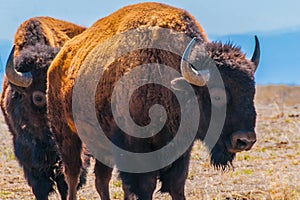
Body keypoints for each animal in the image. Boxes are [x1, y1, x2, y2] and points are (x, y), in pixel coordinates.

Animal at [45, 1, 258, 200]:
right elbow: (145, 186)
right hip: (65, 132)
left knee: (101, 179)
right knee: (73, 173)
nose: (245, 140)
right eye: (217, 94)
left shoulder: (181, 151)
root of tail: (59, 61)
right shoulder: (136, 150)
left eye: (252, 92)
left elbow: (176, 184)